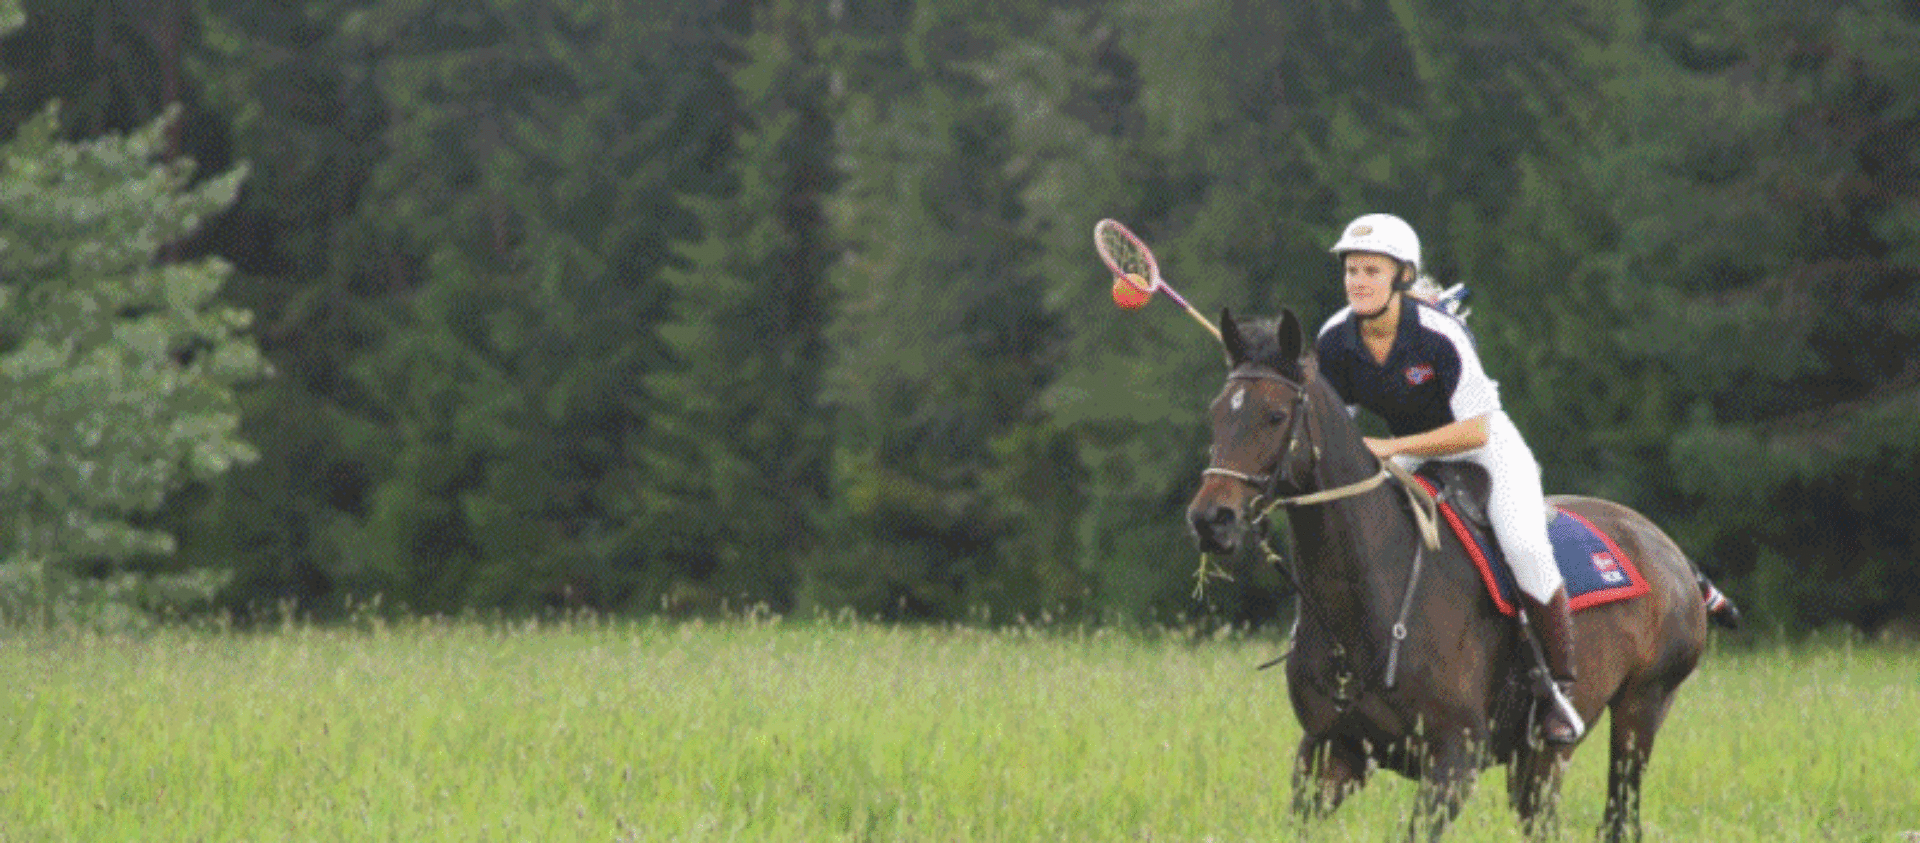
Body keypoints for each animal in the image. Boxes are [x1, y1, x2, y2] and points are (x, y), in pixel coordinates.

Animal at [1175, 311, 1735, 843]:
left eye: (1273, 415)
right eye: (1215, 413)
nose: (1210, 519)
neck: (1368, 598)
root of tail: (1672, 553)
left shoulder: (1454, 760)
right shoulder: (1331, 751)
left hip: (1642, 708)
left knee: (1621, 814)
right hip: (1541, 757)